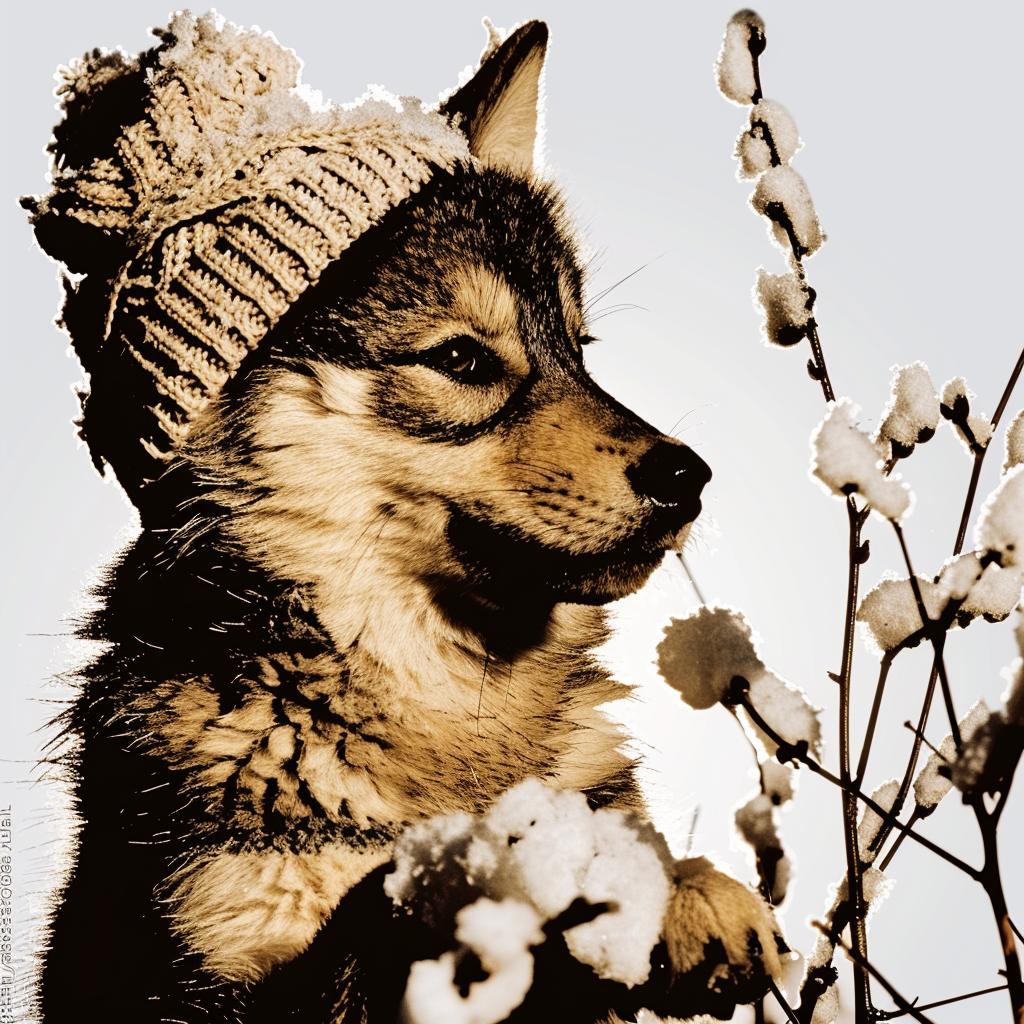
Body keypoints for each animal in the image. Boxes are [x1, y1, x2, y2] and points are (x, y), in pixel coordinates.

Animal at [30, 16, 782, 1024]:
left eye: (579, 350)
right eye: (461, 360)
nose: (687, 475)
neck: (450, 703)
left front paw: (683, 885)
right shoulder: (197, 984)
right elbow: (396, 894)